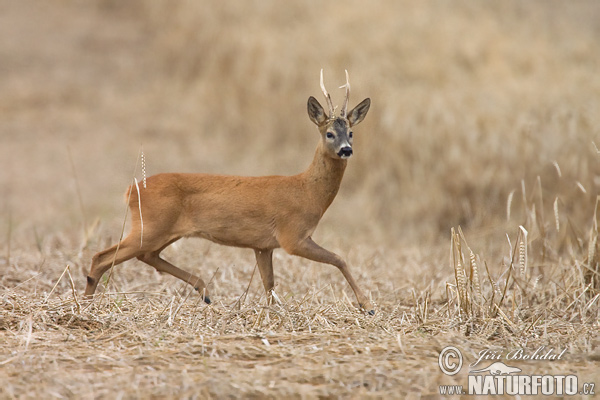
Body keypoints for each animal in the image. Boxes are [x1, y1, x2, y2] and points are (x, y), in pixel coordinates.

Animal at [86, 72, 372, 316]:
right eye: (329, 133)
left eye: (351, 133)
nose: (346, 149)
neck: (307, 191)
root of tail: (130, 191)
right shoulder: (293, 236)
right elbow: (339, 258)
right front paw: (367, 305)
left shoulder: (263, 245)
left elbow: (269, 285)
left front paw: (273, 313)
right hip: (152, 225)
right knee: (102, 257)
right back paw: (86, 305)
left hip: (162, 230)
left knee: (147, 256)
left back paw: (203, 290)